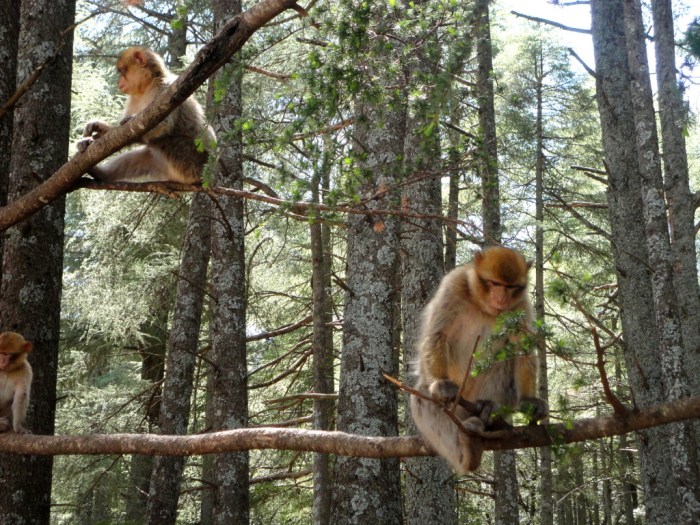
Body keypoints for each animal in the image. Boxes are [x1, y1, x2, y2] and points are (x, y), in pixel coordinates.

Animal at [77, 46, 216, 184]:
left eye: (121, 71)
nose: (118, 81)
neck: (146, 86)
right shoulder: (133, 99)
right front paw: (98, 128)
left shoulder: (163, 88)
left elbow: (162, 124)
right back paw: (101, 174)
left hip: (191, 162)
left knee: (164, 140)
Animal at [409, 246, 547, 474]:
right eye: (495, 284)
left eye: (510, 287)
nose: (501, 299)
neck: (482, 305)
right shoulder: (453, 285)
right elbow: (438, 334)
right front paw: (441, 384)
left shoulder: (520, 305)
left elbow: (521, 349)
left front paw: (529, 400)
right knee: (424, 395)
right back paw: (467, 450)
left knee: (504, 364)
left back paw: (488, 411)